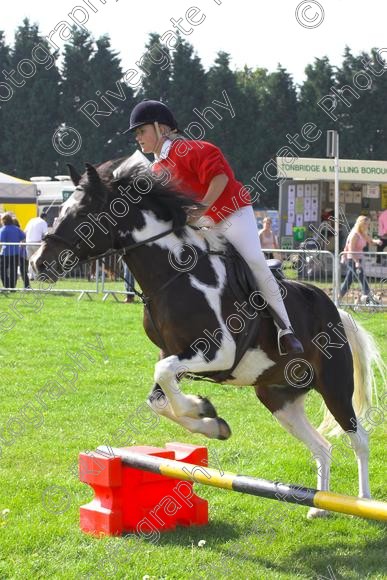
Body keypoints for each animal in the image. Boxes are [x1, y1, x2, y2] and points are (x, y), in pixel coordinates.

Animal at [31, 156, 384, 520]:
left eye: (81, 215)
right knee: (321, 446)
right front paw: (210, 419)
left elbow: (165, 378)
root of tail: (336, 310)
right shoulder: (173, 353)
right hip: (278, 397)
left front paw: (202, 410)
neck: (174, 274)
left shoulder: (218, 352)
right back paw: (319, 507)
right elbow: (159, 396)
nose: (37, 263)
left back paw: (364, 502)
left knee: (359, 439)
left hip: (334, 386)